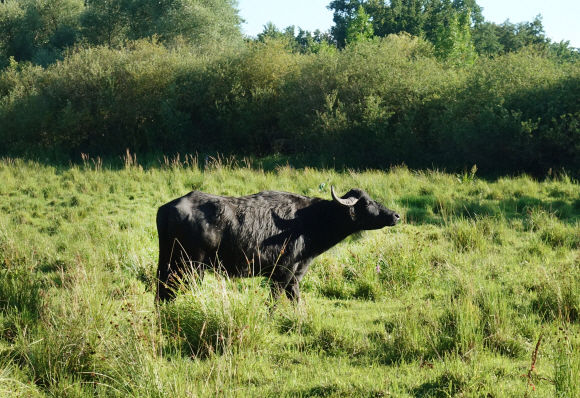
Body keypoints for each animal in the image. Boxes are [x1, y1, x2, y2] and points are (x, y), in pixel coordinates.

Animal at [154, 187, 398, 302]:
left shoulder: (295, 276)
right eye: (367, 203)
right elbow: (274, 302)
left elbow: (296, 300)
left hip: (168, 264)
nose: (395, 215)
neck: (309, 221)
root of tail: (169, 207)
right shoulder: (281, 274)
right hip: (191, 267)